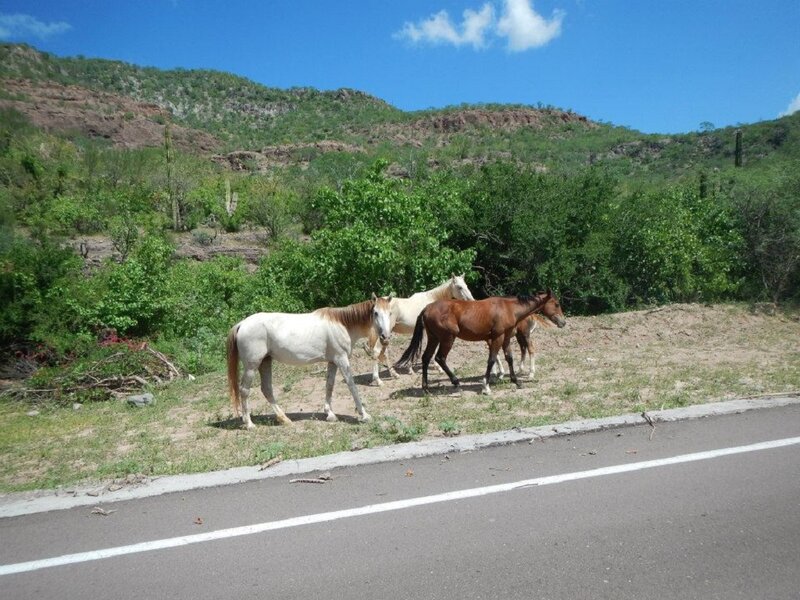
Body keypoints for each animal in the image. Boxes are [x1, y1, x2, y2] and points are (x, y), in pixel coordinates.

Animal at [226, 294, 393, 429]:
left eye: (390, 313)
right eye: (376, 313)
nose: (385, 337)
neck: (342, 324)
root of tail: (242, 324)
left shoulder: (333, 361)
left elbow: (329, 385)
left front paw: (330, 414)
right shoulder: (341, 359)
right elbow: (351, 385)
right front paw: (364, 415)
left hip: (265, 362)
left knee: (266, 389)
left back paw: (284, 419)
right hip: (252, 365)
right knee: (244, 390)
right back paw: (249, 423)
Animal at [394, 290, 563, 395]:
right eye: (556, 304)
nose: (563, 322)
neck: (508, 308)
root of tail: (426, 308)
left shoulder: (506, 337)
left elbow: (509, 358)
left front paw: (516, 381)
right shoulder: (497, 337)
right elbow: (492, 360)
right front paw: (485, 387)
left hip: (434, 338)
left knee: (426, 358)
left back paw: (426, 388)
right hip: (448, 338)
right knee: (439, 358)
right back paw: (456, 384)